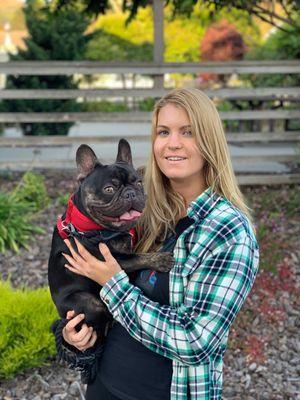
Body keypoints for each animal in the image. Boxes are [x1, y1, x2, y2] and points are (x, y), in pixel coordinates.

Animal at [48, 138, 172, 340]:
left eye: (139, 183)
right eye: (109, 189)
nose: (130, 193)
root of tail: (62, 313)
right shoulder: (111, 261)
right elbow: (137, 257)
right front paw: (159, 259)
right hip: (90, 304)